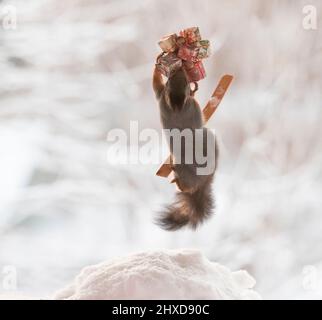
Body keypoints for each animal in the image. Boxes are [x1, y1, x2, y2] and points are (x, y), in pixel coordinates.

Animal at [153, 62, 219, 230]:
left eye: (184, 79)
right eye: (170, 78)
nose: (180, 67)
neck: (177, 106)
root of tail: (205, 179)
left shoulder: (163, 97)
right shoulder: (181, 102)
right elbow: (156, 85)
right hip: (209, 139)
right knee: (187, 187)